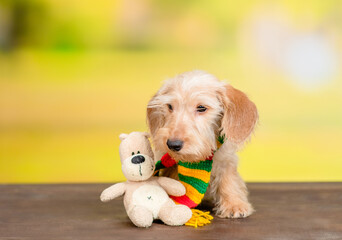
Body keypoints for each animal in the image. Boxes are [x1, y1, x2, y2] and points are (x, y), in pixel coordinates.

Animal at [146, 70, 258, 218]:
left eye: (201, 108)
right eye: (170, 106)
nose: (172, 144)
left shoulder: (226, 159)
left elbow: (228, 178)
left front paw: (234, 204)